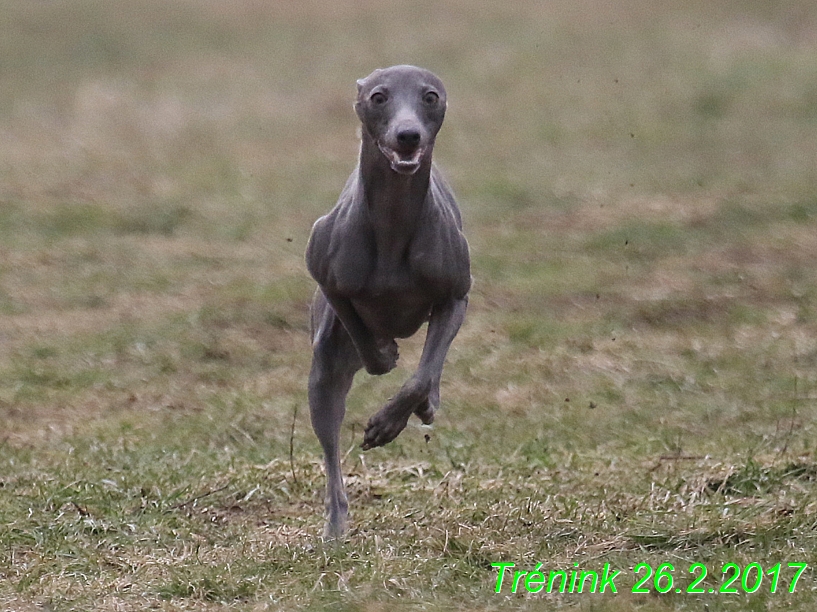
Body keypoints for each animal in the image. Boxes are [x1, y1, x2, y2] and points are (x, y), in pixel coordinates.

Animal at [306, 64, 472, 536]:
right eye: (378, 97)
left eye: (430, 96)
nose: (408, 135)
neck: (393, 221)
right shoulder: (325, 276)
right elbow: (365, 338)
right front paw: (383, 352)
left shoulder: (456, 296)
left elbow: (420, 376)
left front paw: (388, 421)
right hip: (322, 378)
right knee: (330, 452)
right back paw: (335, 529)